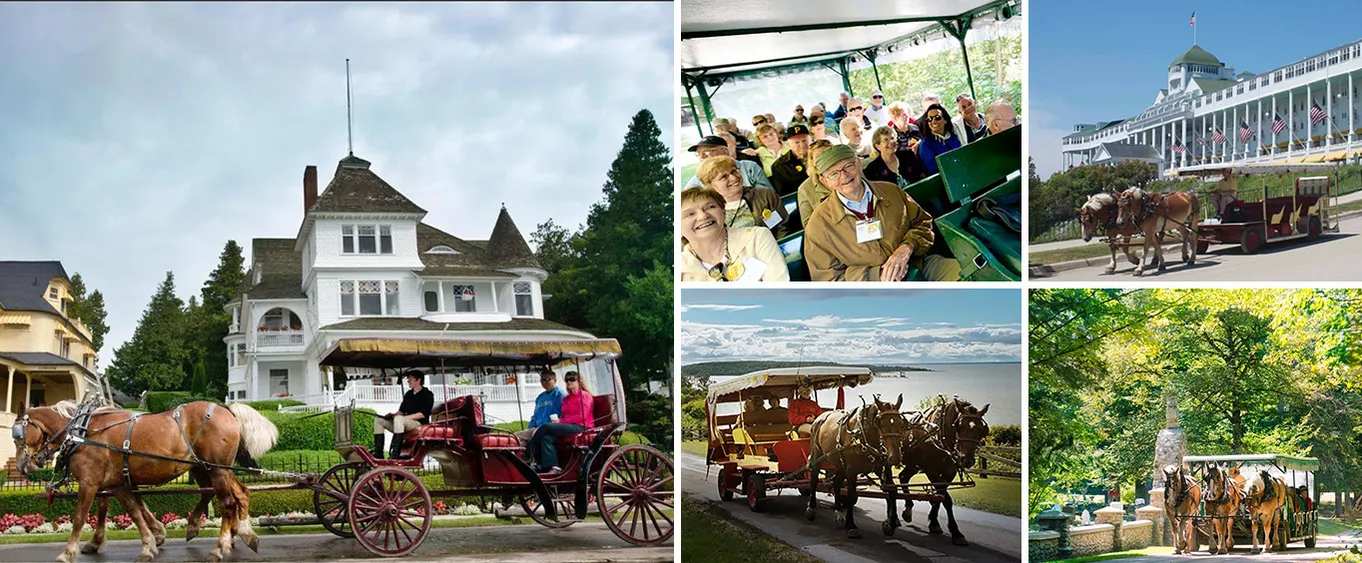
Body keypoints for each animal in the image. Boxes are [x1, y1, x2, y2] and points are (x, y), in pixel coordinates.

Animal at [14, 398, 276, 561]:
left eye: (18, 435)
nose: (21, 466)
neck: (82, 432)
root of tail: (226, 408)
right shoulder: (119, 484)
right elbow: (136, 512)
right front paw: (150, 543)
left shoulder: (90, 483)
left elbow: (80, 517)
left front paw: (68, 552)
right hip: (211, 468)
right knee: (238, 493)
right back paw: (242, 533)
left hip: (216, 469)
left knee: (227, 503)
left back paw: (220, 547)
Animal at [800, 392, 909, 537]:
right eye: (880, 423)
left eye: (901, 423)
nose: (895, 457)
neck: (863, 434)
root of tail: (819, 418)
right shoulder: (851, 470)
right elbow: (851, 496)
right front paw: (851, 525)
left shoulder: (882, 468)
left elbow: (892, 491)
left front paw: (890, 524)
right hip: (817, 456)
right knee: (814, 481)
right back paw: (811, 509)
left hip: (841, 464)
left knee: (836, 483)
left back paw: (839, 512)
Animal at [893, 395, 991, 545]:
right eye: (959, 426)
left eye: (981, 429)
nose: (967, 459)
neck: (939, 434)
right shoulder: (931, 470)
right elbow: (945, 498)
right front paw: (956, 532)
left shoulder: (949, 472)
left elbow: (940, 496)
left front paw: (934, 522)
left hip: (913, 465)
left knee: (903, 477)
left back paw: (907, 510)